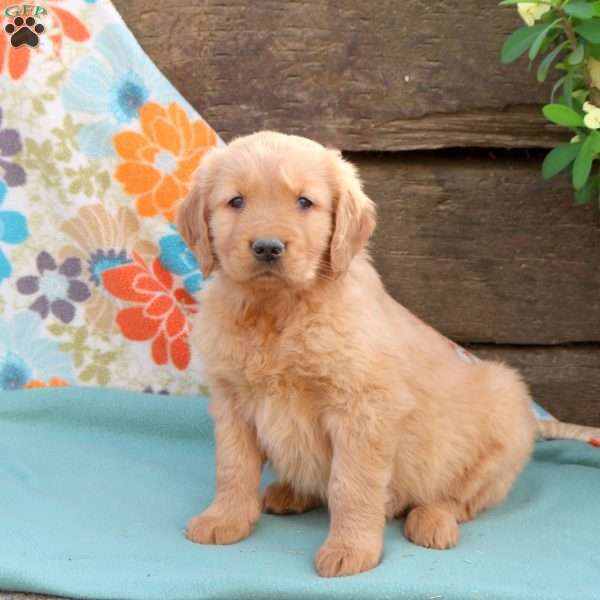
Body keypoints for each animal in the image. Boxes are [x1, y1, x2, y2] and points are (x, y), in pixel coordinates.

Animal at [176, 131, 536, 576]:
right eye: (236, 201)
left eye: (304, 202)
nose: (267, 247)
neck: (278, 310)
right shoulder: (232, 403)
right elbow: (232, 467)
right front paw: (225, 519)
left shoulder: (363, 408)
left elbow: (351, 484)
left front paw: (351, 548)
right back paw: (290, 492)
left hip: (505, 413)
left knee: (457, 498)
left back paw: (431, 520)